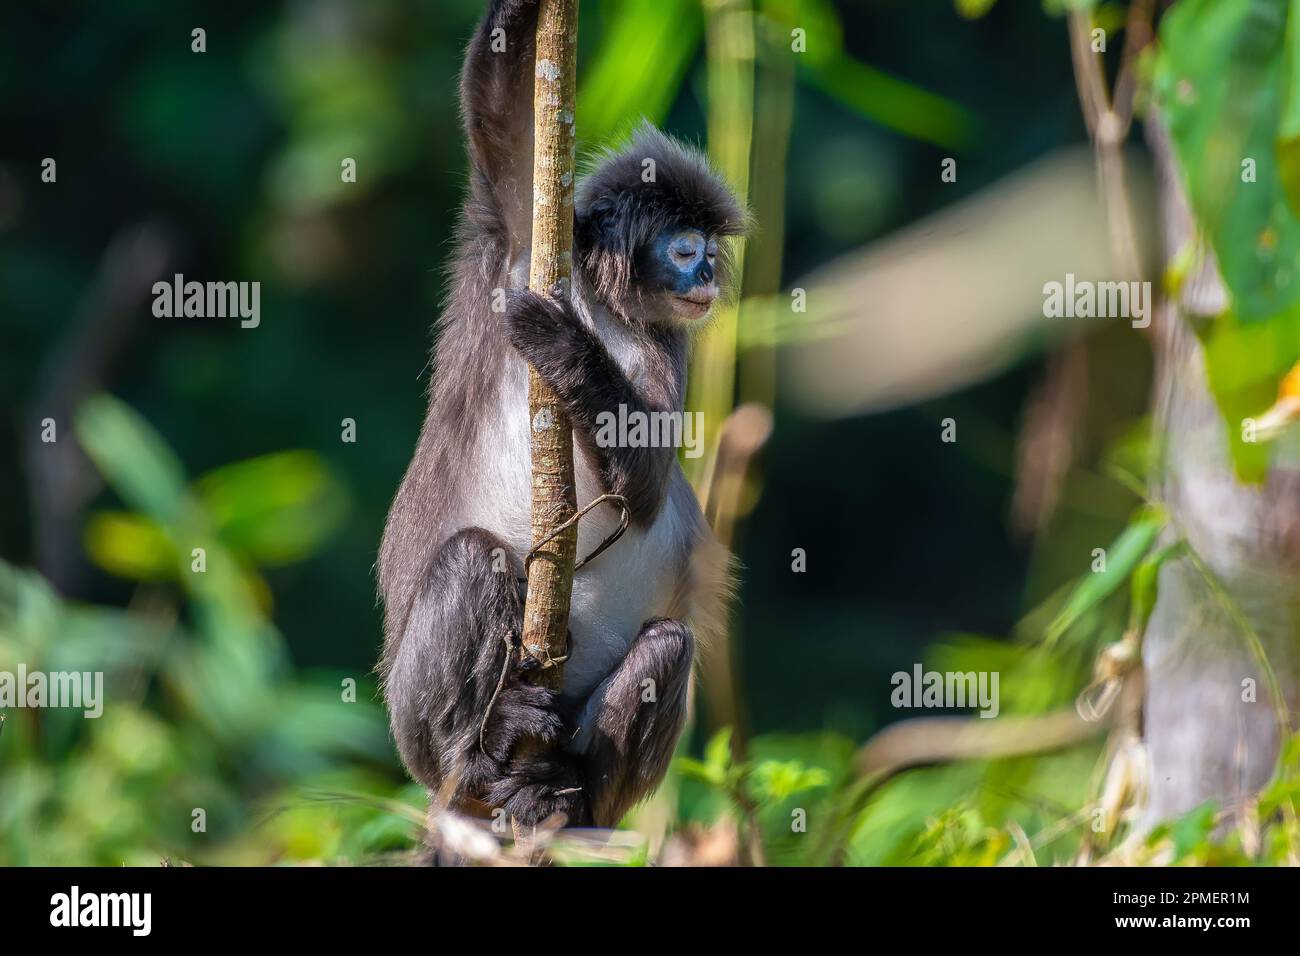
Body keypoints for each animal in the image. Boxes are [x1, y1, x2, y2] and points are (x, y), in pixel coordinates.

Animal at [376, 0, 746, 831]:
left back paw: (560, 788)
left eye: (711, 250)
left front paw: (564, 347)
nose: (709, 273)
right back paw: (481, 752)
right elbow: (499, 117)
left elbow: (644, 485)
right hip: (412, 728)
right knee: (469, 558)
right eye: (686, 249)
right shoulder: (516, 244)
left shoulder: (667, 342)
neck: (603, 302)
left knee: (668, 645)